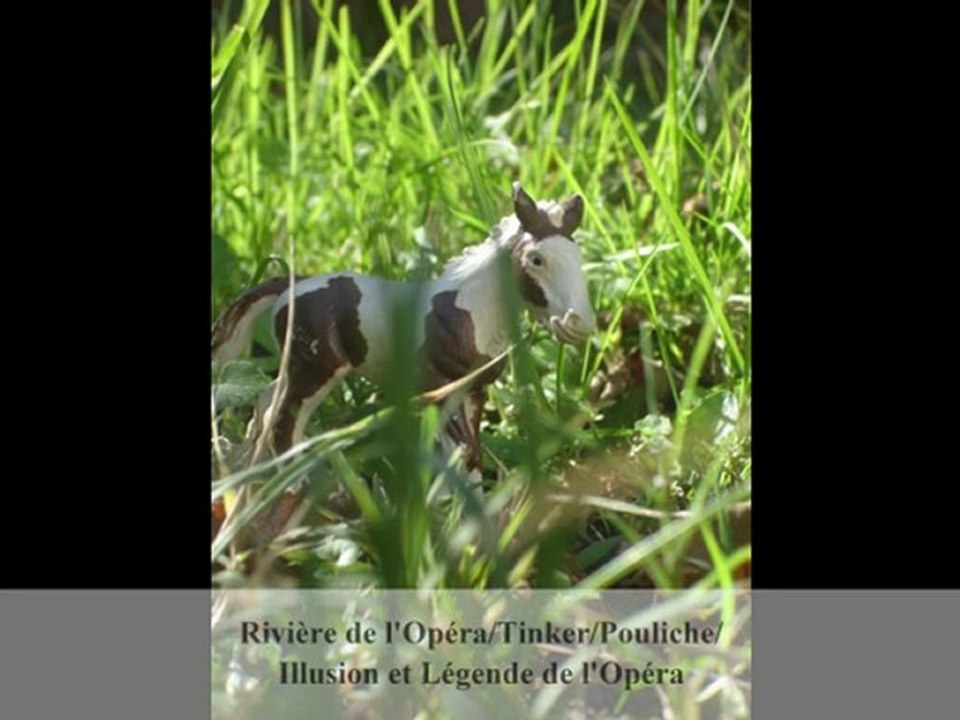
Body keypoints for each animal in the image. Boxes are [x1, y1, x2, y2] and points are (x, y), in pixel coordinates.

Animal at [212, 183, 596, 541]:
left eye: (578, 257)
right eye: (536, 259)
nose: (580, 324)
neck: (468, 313)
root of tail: (292, 287)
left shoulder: (473, 392)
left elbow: (466, 455)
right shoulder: (442, 391)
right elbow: (463, 453)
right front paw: (456, 523)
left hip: (296, 368)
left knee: (266, 403)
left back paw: (250, 472)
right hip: (315, 371)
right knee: (285, 420)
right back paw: (294, 490)